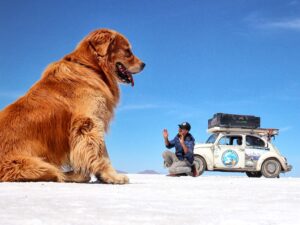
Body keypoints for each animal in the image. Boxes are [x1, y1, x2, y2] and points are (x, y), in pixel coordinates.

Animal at [0, 28, 145, 184]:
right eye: (128, 51)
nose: (144, 64)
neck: (92, 68)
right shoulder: (89, 122)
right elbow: (100, 152)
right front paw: (111, 175)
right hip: (31, 165)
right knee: (54, 173)